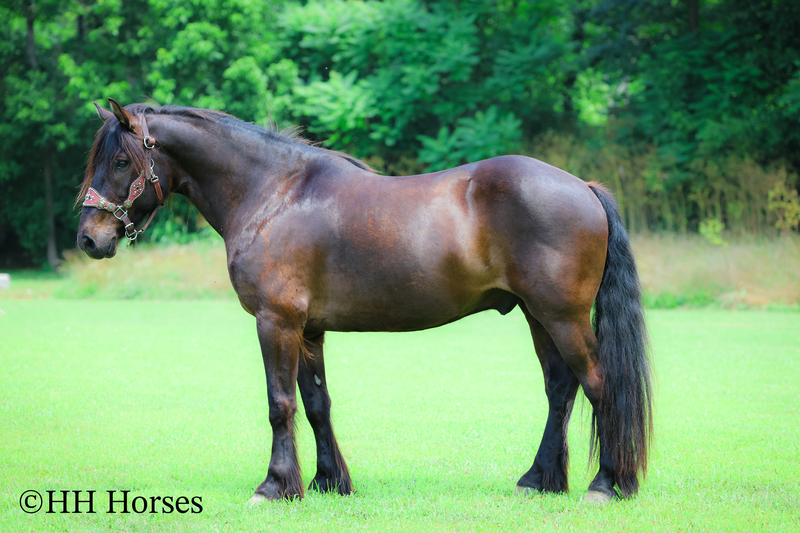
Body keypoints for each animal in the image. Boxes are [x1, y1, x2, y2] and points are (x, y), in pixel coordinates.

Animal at [76, 99, 652, 504]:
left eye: (122, 160)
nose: (89, 238)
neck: (274, 193)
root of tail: (583, 185)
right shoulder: (308, 329)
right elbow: (316, 403)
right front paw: (327, 482)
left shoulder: (275, 322)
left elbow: (279, 404)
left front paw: (274, 486)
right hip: (538, 316)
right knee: (560, 389)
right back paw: (539, 479)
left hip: (563, 317)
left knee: (599, 385)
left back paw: (605, 484)